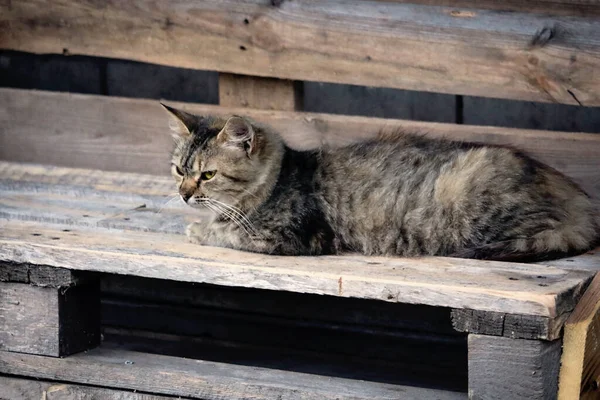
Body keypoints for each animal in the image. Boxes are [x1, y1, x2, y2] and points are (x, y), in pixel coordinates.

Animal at [162, 102, 596, 262]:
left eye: (208, 175)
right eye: (180, 171)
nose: (183, 195)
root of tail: (581, 200)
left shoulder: (289, 238)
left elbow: (224, 234)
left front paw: (196, 230)